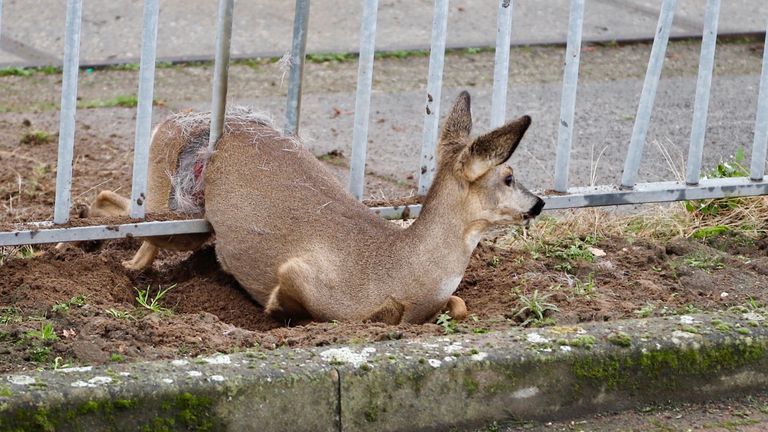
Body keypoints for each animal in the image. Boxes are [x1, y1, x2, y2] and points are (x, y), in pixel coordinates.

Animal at [87, 91, 544, 322]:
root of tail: (186, 119)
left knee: (109, 202)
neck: (402, 271)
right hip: (179, 213)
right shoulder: (302, 275)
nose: (539, 203)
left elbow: (460, 305)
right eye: (508, 176)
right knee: (125, 218)